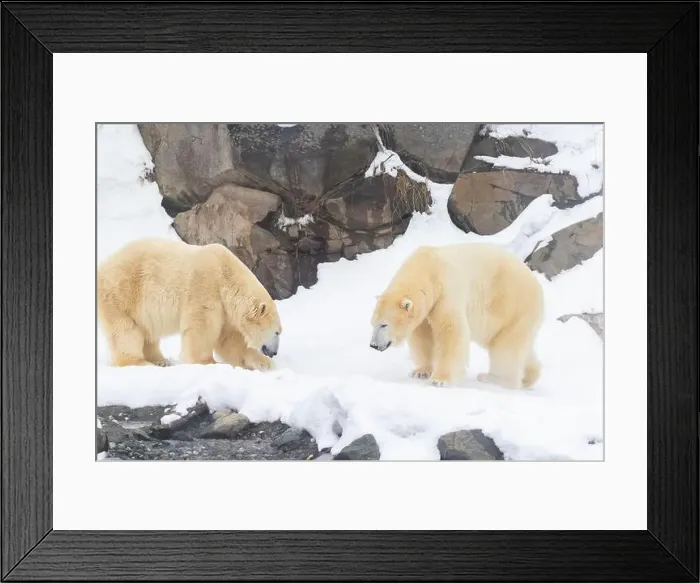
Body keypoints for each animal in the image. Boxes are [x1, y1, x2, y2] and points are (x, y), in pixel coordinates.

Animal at [97, 237, 282, 370]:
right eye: (277, 332)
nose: (274, 353)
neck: (225, 274)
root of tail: (101, 267)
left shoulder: (225, 310)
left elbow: (229, 339)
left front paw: (264, 363)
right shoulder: (205, 287)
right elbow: (202, 329)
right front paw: (208, 363)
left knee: (148, 332)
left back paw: (161, 360)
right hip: (122, 292)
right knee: (126, 330)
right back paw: (140, 362)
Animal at [369, 242, 544, 388]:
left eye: (384, 324)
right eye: (373, 323)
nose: (373, 345)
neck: (427, 267)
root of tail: (537, 285)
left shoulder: (446, 291)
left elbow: (450, 330)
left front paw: (440, 379)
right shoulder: (426, 309)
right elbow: (422, 335)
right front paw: (420, 372)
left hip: (512, 305)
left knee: (506, 349)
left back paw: (493, 378)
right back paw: (528, 378)